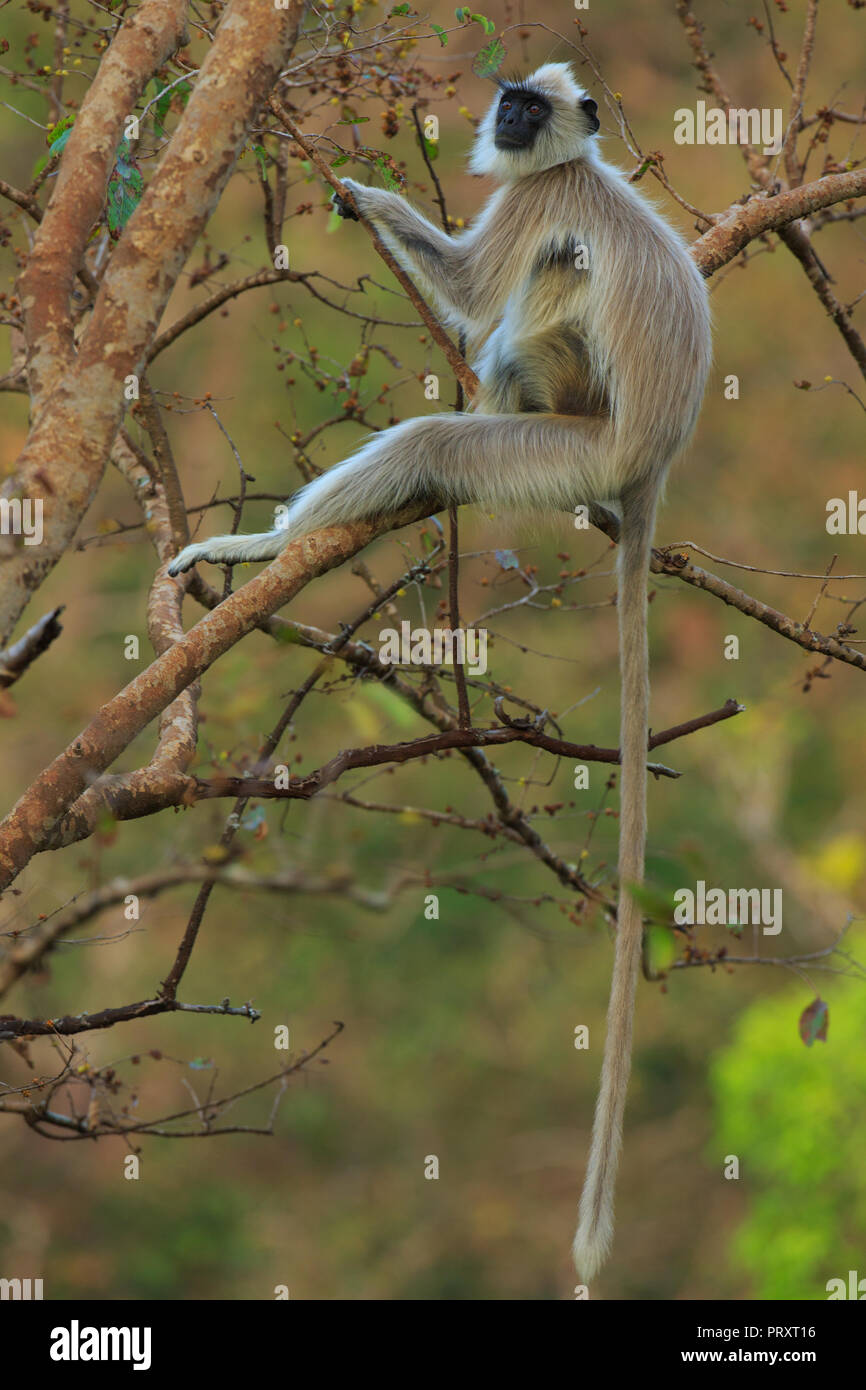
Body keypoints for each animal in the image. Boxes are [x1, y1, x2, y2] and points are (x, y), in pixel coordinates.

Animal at [167, 62, 711, 1278]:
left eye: (528, 111)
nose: (503, 120)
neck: (572, 166)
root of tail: (652, 461)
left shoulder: (534, 198)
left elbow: (470, 285)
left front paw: (366, 196)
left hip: (564, 443)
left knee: (472, 392)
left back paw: (264, 547)